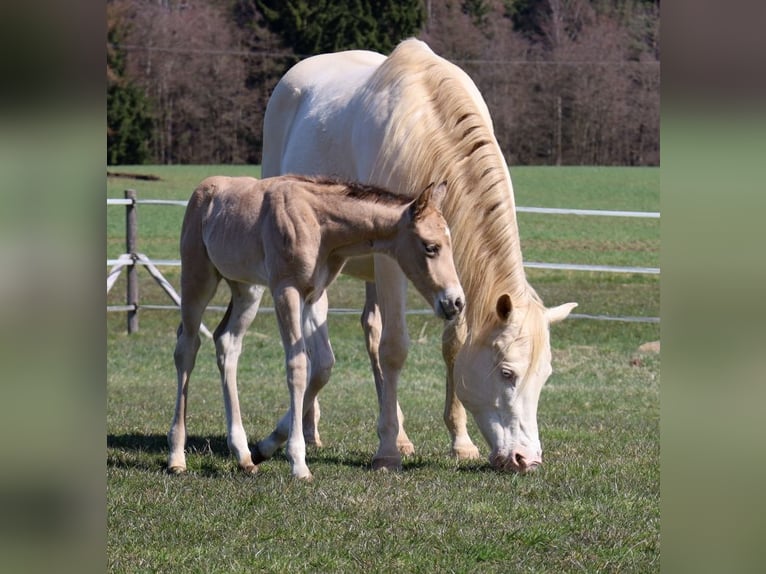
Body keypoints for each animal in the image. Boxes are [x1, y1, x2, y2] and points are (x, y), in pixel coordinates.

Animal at [167, 174, 464, 479]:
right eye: (430, 247)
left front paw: (265, 446)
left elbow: (322, 366)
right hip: (197, 279)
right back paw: (177, 457)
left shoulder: (315, 295)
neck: (318, 223)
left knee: (227, 343)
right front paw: (299, 462)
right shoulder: (286, 290)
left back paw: (243, 455)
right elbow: (298, 367)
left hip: (246, 289)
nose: (455, 302)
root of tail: (204, 187)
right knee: (187, 348)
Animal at [260, 39, 577, 474]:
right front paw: (386, 453)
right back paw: (311, 428)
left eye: (544, 376)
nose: (525, 460)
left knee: (370, 331)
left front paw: (460, 442)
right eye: (507, 373)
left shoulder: (453, 278)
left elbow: (452, 346)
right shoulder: (392, 264)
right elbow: (395, 349)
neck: (427, 126)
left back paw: (398, 434)